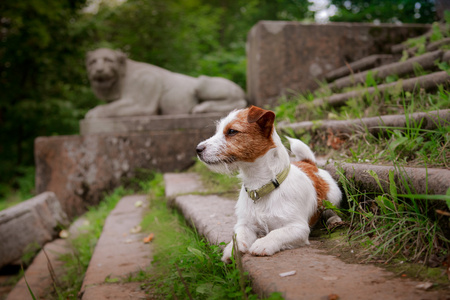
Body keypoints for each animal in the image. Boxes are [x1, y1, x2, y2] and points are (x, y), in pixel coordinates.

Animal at [196, 105, 342, 262]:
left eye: (232, 131)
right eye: (217, 130)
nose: (197, 149)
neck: (259, 185)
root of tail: (309, 163)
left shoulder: (298, 227)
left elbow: (277, 233)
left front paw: (263, 243)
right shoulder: (245, 224)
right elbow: (238, 236)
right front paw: (231, 249)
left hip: (333, 196)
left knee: (331, 210)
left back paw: (334, 220)